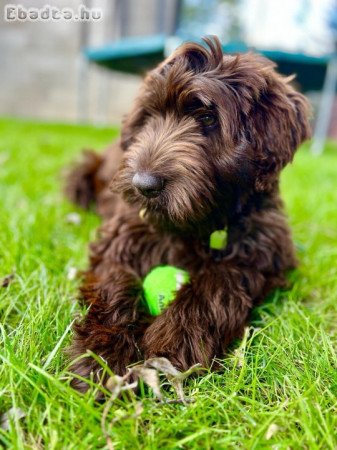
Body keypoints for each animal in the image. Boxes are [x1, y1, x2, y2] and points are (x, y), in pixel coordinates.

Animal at [66, 37, 310, 392]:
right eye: (149, 116)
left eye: (207, 118)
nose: (144, 186)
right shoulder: (122, 236)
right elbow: (113, 283)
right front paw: (102, 354)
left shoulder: (263, 250)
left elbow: (219, 281)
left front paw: (175, 340)